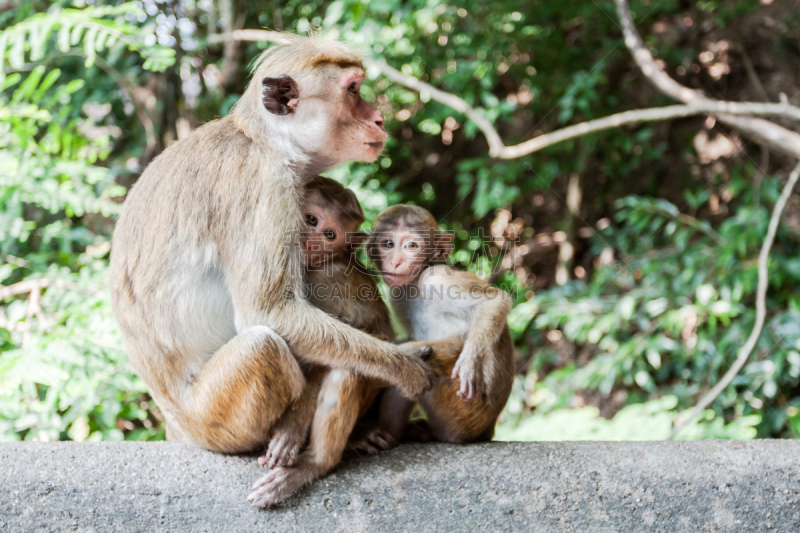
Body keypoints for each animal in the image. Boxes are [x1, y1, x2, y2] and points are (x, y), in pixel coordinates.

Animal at [109, 36, 434, 462]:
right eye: (353, 91)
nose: (379, 118)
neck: (266, 141)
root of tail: (177, 426)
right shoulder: (265, 185)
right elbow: (269, 312)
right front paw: (404, 367)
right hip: (211, 420)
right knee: (263, 346)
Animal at [368, 206, 512, 442]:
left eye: (412, 246)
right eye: (387, 243)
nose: (396, 262)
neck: (416, 283)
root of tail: (488, 429)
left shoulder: (437, 280)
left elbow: (493, 301)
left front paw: (469, 363)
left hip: (462, 413)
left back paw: (392, 432)